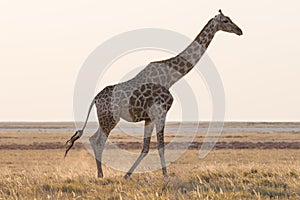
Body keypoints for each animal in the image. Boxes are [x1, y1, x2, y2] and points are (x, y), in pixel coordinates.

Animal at [65, 9, 241, 179]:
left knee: (93, 139)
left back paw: (100, 173)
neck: (171, 77)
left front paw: (127, 175)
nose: (240, 31)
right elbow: (161, 146)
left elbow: (146, 148)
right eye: (226, 20)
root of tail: (95, 99)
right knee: (99, 141)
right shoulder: (161, 112)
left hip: (106, 119)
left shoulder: (149, 118)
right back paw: (101, 175)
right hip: (109, 118)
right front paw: (166, 176)